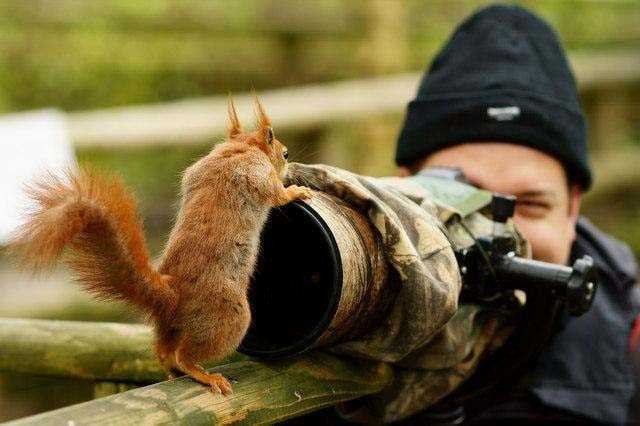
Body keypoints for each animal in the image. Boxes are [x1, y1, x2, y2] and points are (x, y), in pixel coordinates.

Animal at [7, 95, 312, 392]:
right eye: (284, 154)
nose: (289, 162)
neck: (238, 149)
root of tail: (172, 297)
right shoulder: (256, 173)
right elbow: (276, 195)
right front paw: (297, 191)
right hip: (230, 317)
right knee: (184, 355)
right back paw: (205, 375)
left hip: (170, 328)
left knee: (164, 351)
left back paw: (171, 369)